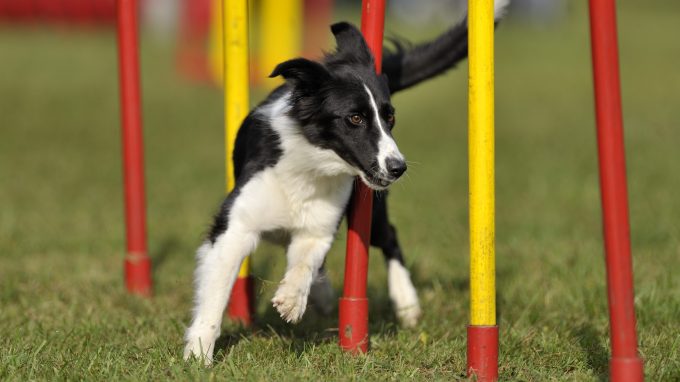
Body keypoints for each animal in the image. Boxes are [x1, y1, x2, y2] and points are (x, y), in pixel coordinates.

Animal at [183, 0, 508, 364]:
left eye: (390, 117)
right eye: (354, 118)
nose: (398, 167)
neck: (311, 169)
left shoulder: (320, 225)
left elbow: (306, 261)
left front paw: (292, 299)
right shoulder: (235, 225)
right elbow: (215, 294)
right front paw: (198, 355)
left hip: (374, 215)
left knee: (389, 237)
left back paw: (405, 302)